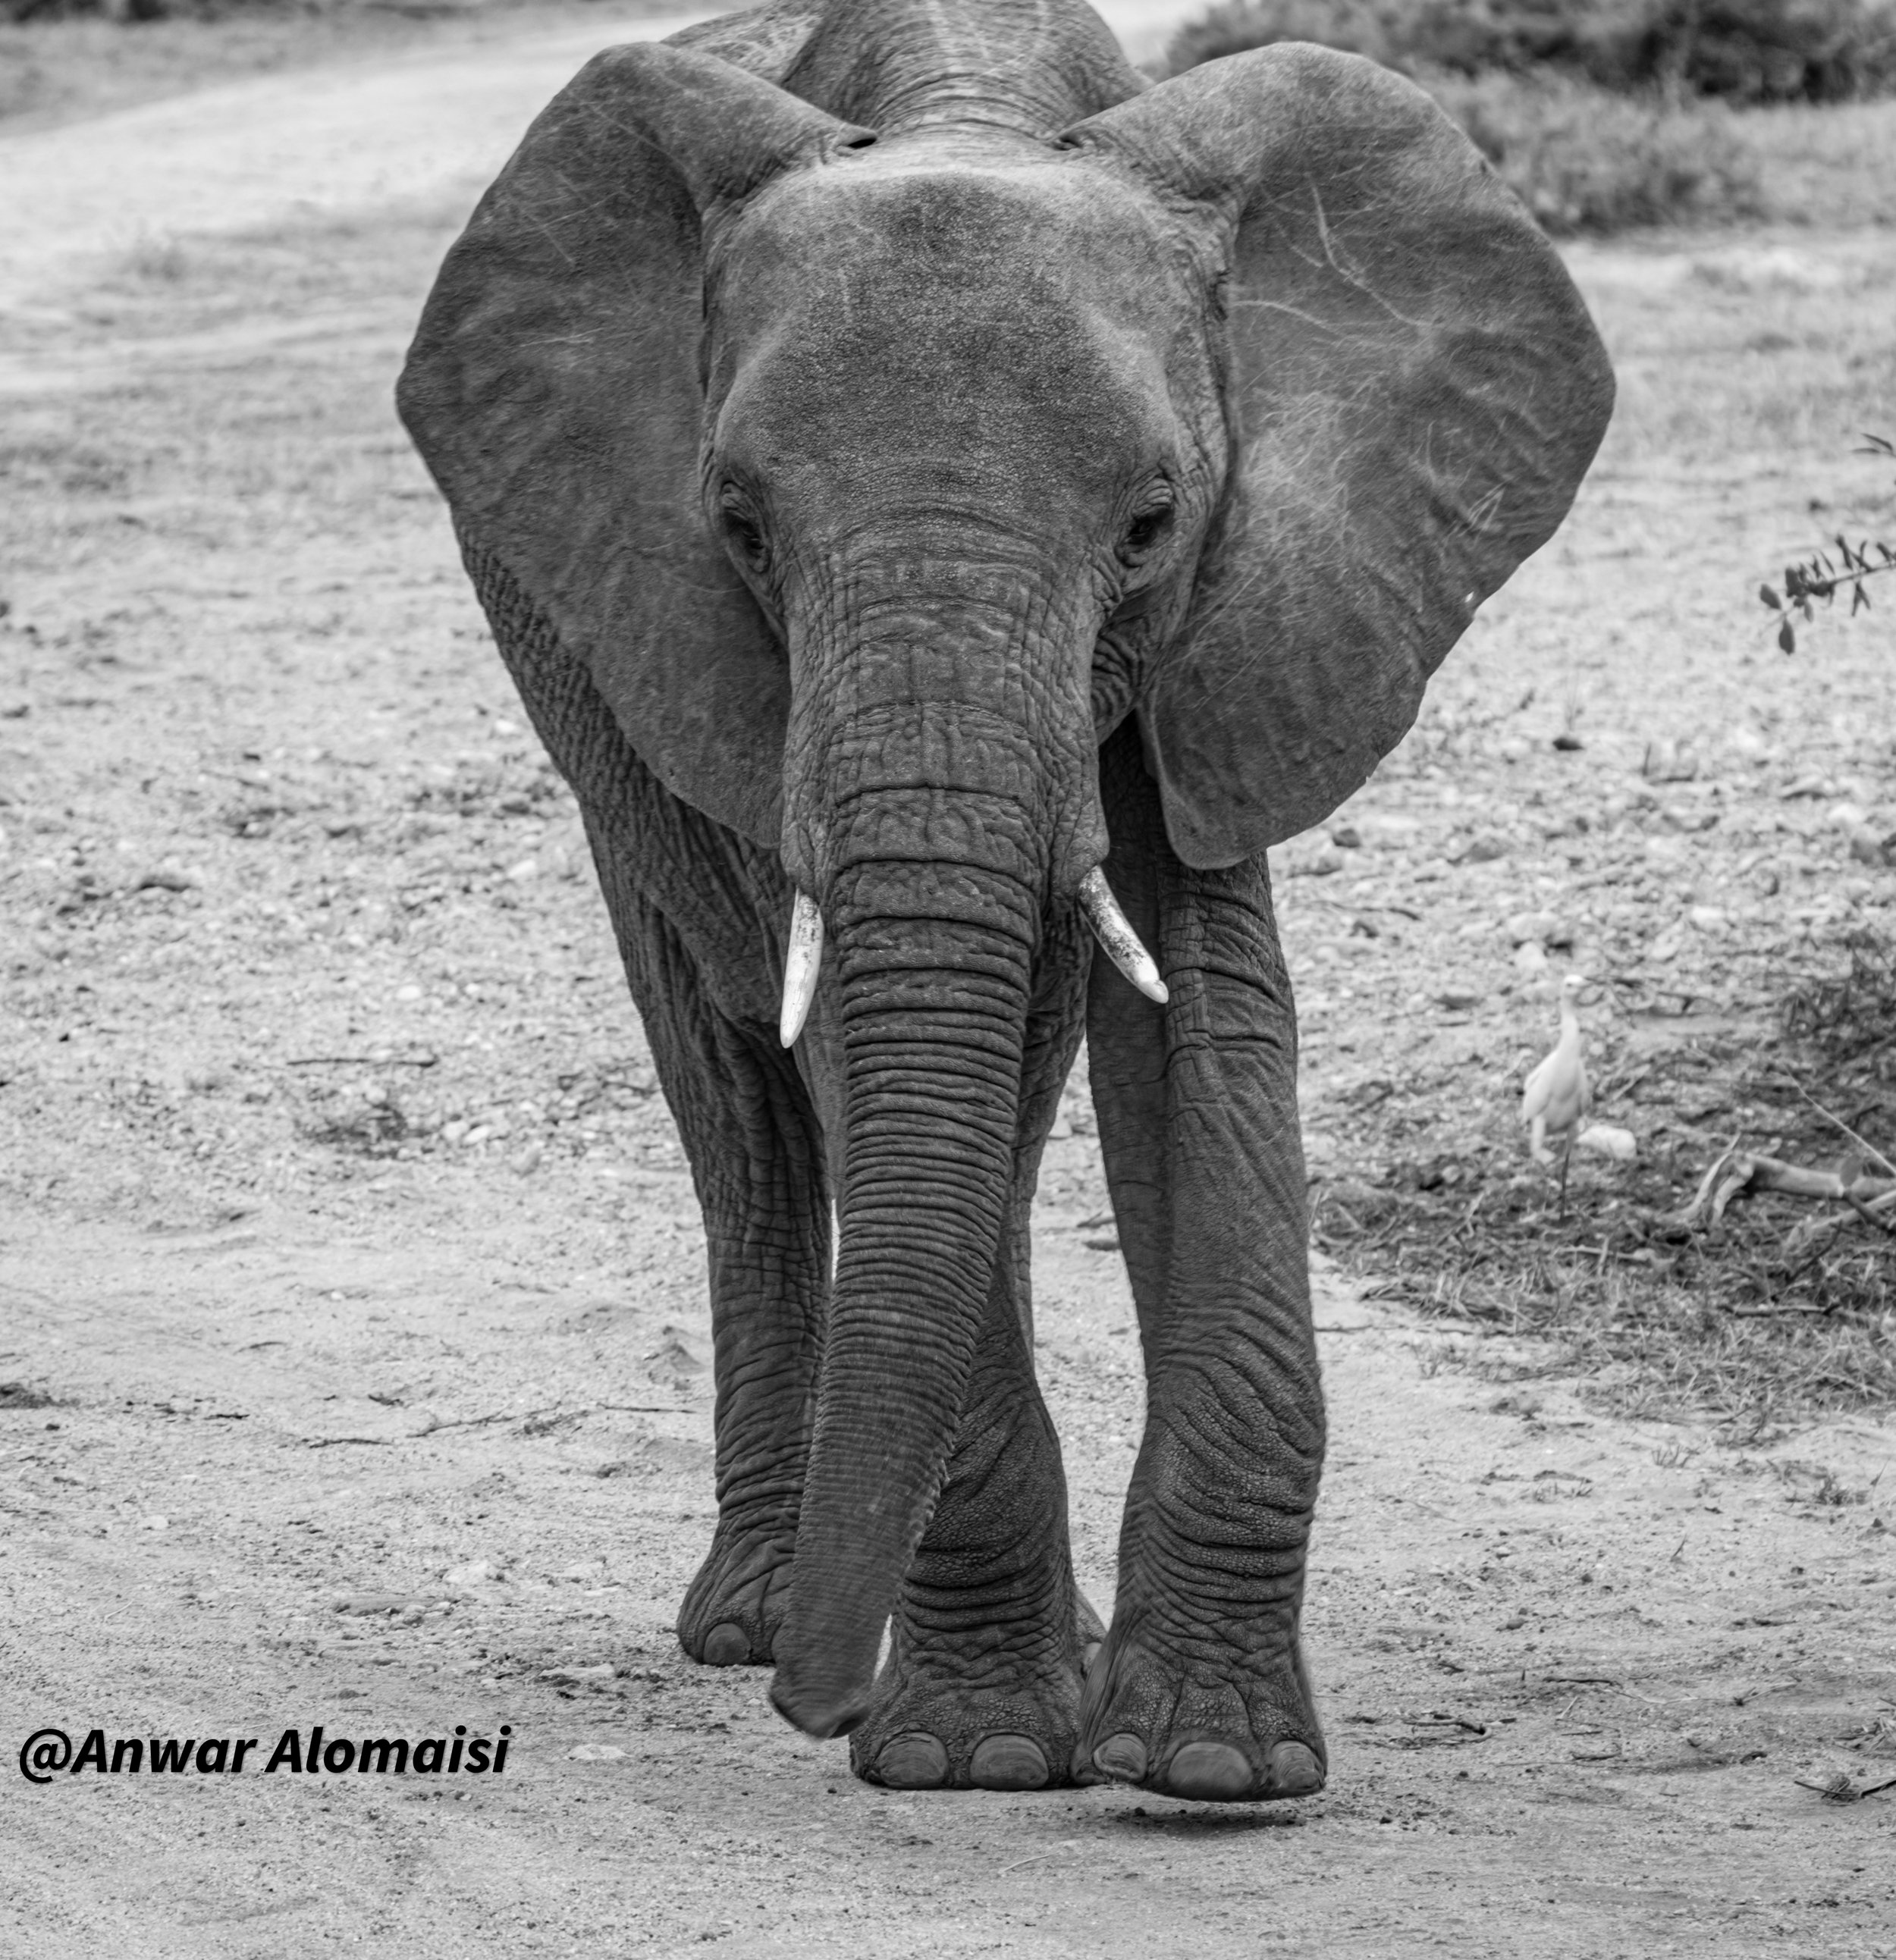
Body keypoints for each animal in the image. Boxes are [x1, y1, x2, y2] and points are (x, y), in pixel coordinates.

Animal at [396, 0, 1613, 1801]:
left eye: (1150, 520)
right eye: (739, 524)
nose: (812, 1710)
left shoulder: (1247, 615)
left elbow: (1207, 1029)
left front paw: (1211, 1768)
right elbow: (844, 1037)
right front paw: (976, 1755)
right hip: (590, 703)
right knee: (738, 1094)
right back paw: (763, 1614)